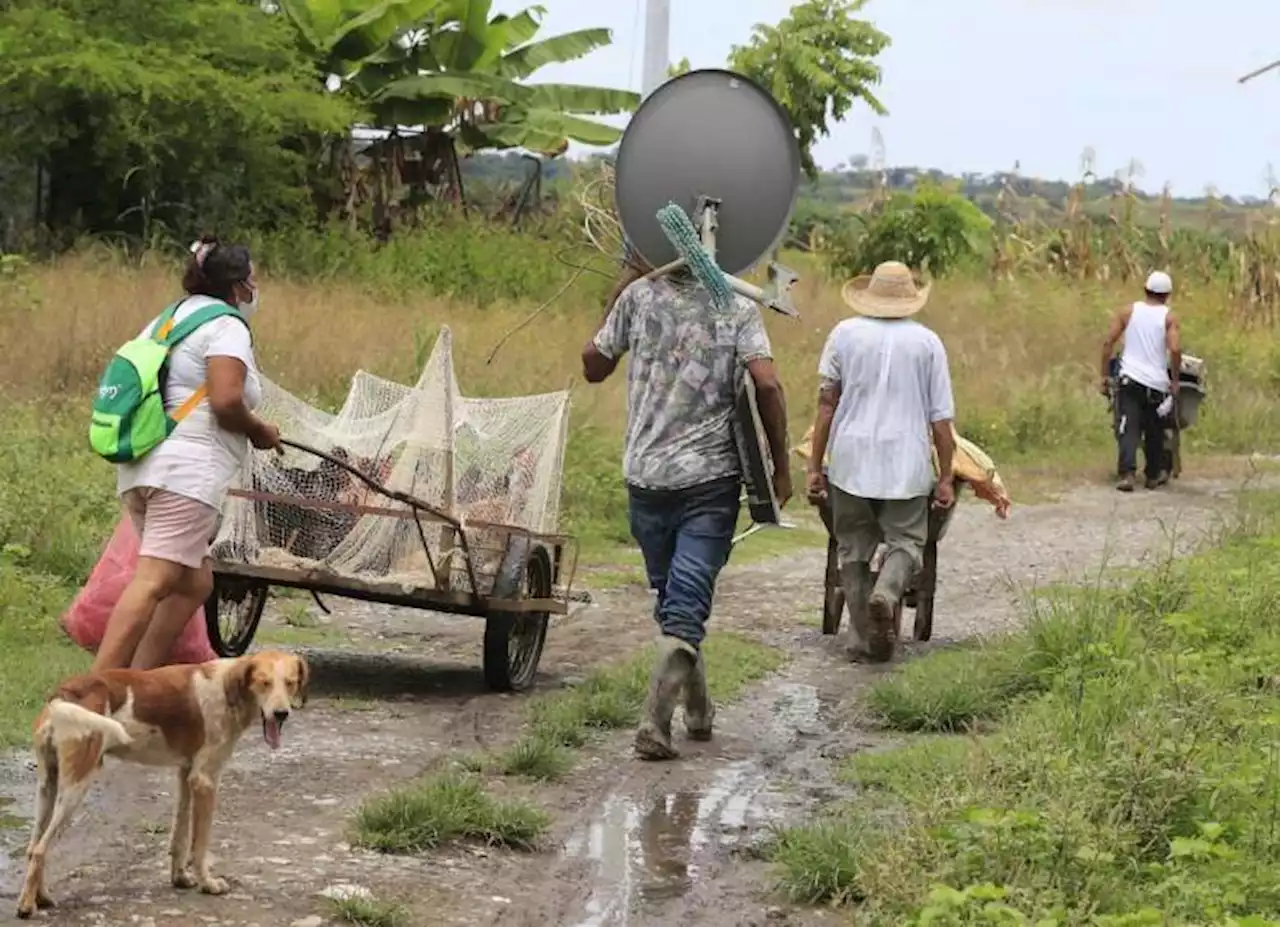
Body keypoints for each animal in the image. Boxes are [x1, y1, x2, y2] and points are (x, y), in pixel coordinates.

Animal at [15, 652, 309, 921]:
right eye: (264, 683)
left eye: (290, 683)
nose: (281, 714)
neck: (228, 689)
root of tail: (64, 692)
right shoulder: (205, 780)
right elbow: (199, 845)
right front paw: (208, 883)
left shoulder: (186, 774)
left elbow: (179, 837)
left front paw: (180, 878)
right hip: (76, 787)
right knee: (40, 850)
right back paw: (26, 907)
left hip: (48, 787)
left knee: (33, 847)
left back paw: (42, 897)